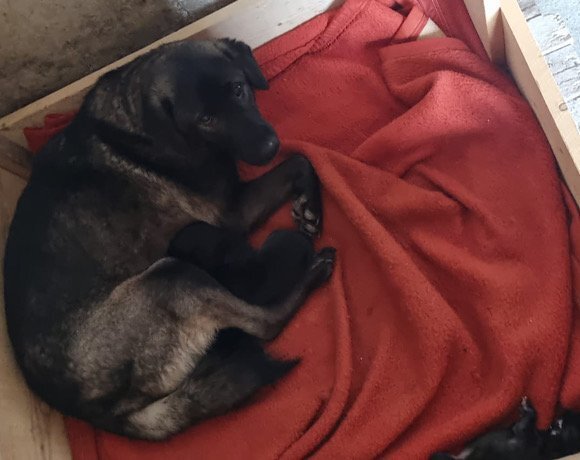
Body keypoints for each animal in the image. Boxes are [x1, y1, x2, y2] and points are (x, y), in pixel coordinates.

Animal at [4, 38, 336, 440]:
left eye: (238, 89)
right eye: (205, 119)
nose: (269, 147)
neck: (139, 121)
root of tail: (95, 413)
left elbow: (300, 161)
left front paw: (308, 206)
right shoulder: (232, 211)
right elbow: (298, 160)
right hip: (171, 277)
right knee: (266, 324)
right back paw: (312, 274)